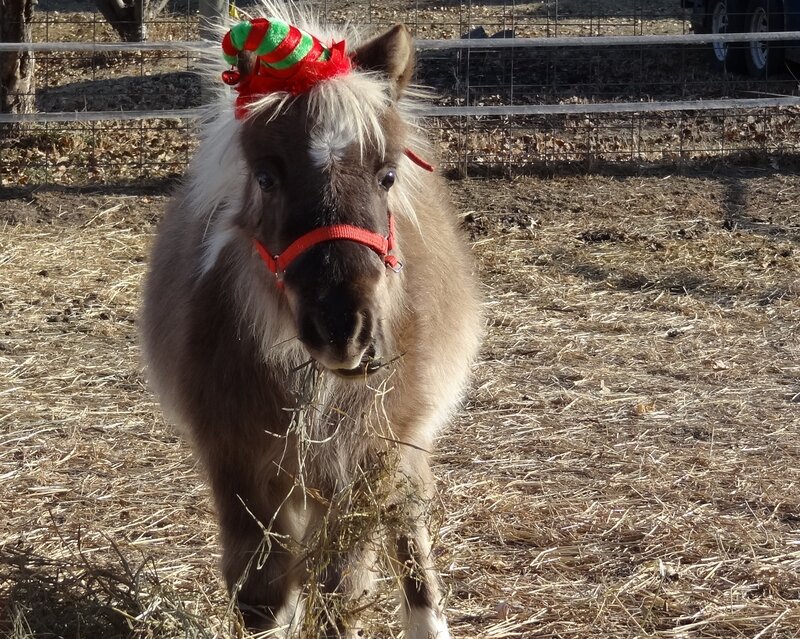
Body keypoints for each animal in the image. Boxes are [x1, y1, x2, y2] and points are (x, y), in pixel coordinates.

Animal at [140, 7, 482, 638]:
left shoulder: (366, 465)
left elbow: (341, 596)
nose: (342, 329)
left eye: (387, 175)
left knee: (409, 529)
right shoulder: (239, 465)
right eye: (266, 176)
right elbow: (263, 596)